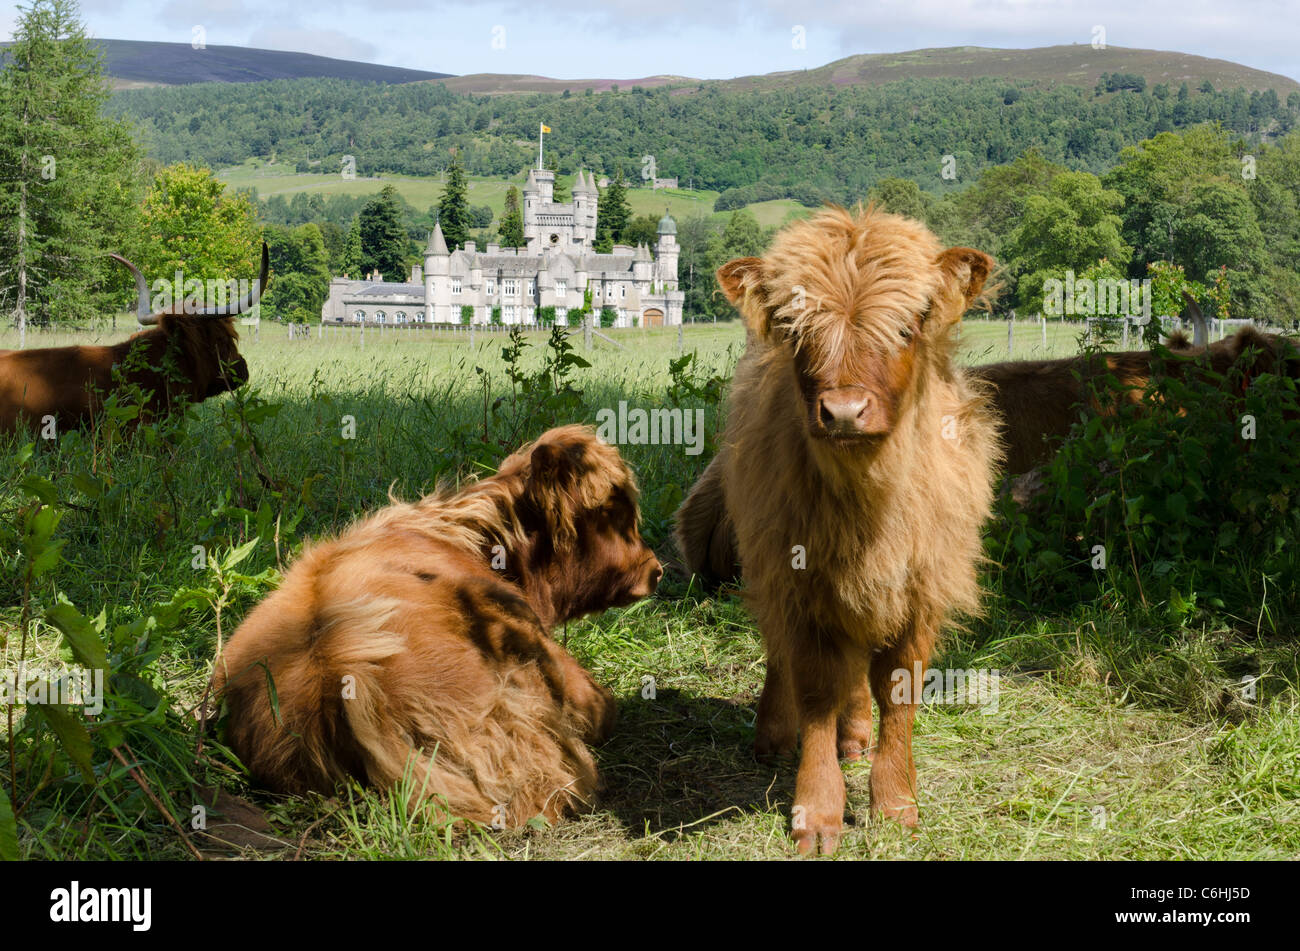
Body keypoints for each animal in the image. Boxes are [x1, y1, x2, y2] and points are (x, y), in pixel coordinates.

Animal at [717, 206, 998, 852]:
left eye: (908, 327)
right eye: (796, 331)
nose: (844, 413)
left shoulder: (919, 590)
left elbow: (896, 690)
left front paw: (895, 804)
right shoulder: (801, 584)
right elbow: (816, 689)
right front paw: (818, 813)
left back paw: (857, 737)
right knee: (783, 655)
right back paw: (774, 733)